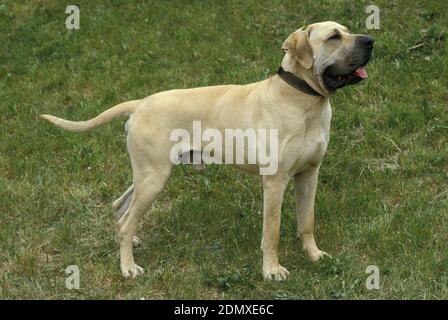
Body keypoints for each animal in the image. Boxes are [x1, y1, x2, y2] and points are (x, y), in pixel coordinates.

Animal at [40, 21, 372, 280]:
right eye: (333, 37)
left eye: (346, 31)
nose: (370, 40)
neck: (302, 99)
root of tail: (140, 103)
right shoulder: (275, 183)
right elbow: (272, 233)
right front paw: (271, 270)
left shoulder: (309, 175)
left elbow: (307, 221)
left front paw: (314, 255)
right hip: (153, 179)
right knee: (126, 220)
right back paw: (128, 267)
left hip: (145, 177)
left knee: (121, 209)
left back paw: (131, 243)